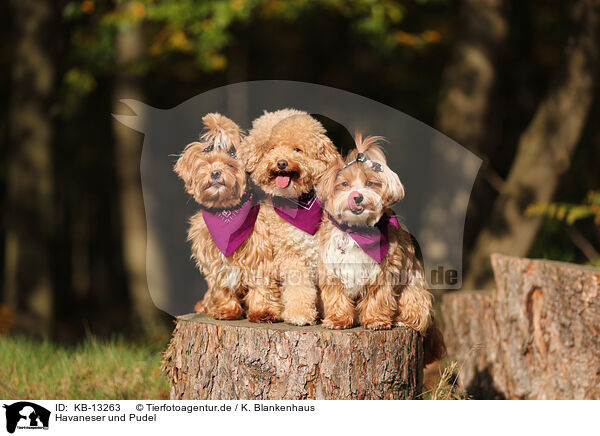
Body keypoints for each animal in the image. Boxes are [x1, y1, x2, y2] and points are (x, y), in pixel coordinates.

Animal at [173, 114, 282, 322]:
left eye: (230, 165)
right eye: (205, 165)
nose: (215, 173)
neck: (226, 211)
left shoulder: (259, 255)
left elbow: (261, 284)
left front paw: (263, 312)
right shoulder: (215, 261)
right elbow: (222, 286)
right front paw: (227, 310)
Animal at [240, 110, 342, 324]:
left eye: (297, 149)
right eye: (271, 148)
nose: (281, 163)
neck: (298, 203)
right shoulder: (291, 256)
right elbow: (299, 287)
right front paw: (300, 314)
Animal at [314, 133, 446, 362]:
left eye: (370, 182)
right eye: (344, 183)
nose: (357, 196)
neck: (357, 231)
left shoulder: (384, 270)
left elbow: (379, 297)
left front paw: (376, 320)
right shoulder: (332, 269)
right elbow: (336, 296)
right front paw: (337, 320)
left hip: (415, 287)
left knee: (417, 311)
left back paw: (404, 320)